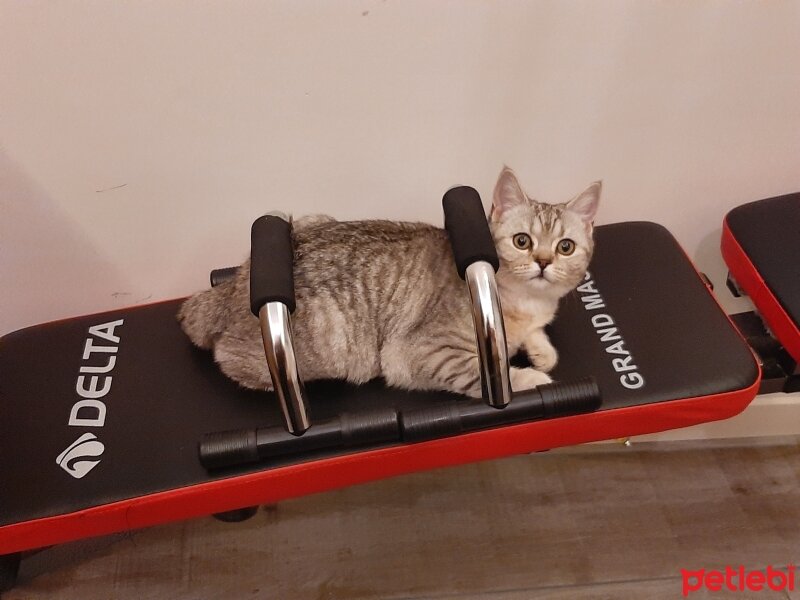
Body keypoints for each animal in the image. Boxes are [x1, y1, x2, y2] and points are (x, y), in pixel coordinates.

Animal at [177, 166, 600, 398]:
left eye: (565, 247)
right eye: (522, 241)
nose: (543, 262)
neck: (526, 303)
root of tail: (232, 288)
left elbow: (538, 336)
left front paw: (542, 351)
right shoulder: (422, 352)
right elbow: (489, 371)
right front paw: (532, 376)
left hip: (309, 218)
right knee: (227, 357)